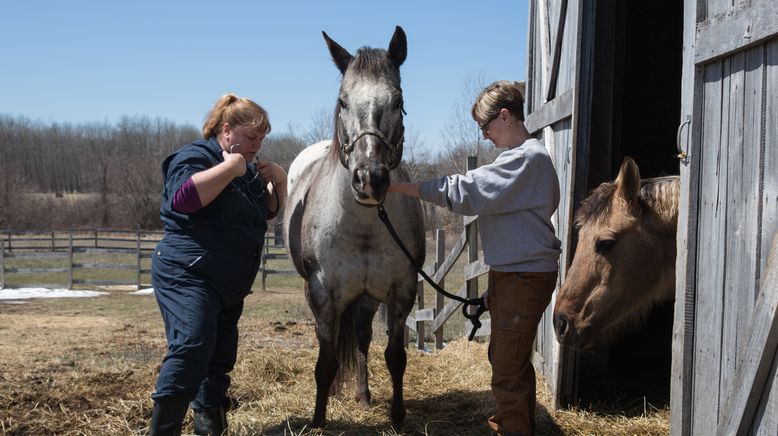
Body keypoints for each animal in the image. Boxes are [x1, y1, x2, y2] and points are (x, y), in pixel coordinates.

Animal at [280, 27, 422, 430]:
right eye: (343, 102)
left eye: (397, 101)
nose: (368, 179)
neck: (363, 226)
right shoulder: (323, 295)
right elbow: (325, 363)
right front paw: (318, 420)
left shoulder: (401, 292)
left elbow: (395, 357)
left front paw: (397, 417)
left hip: (367, 297)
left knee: (360, 338)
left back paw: (363, 395)